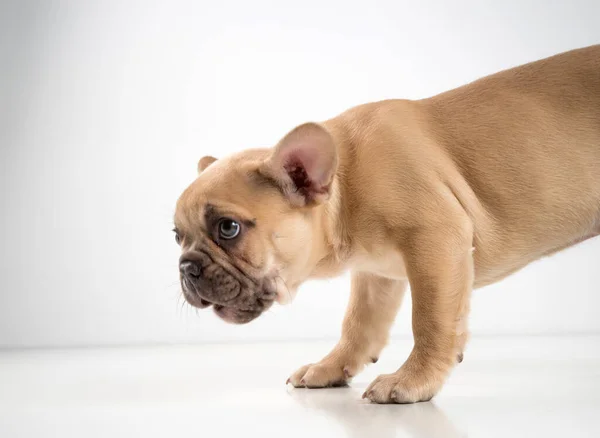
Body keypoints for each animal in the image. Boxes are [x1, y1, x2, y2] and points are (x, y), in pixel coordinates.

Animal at [173, 44, 600, 404]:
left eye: (228, 228)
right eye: (177, 236)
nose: (186, 267)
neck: (346, 180)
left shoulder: (437, 241)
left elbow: (429, 319)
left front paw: (413, 380)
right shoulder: (376, 274)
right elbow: (359, 323)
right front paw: (330, 367)